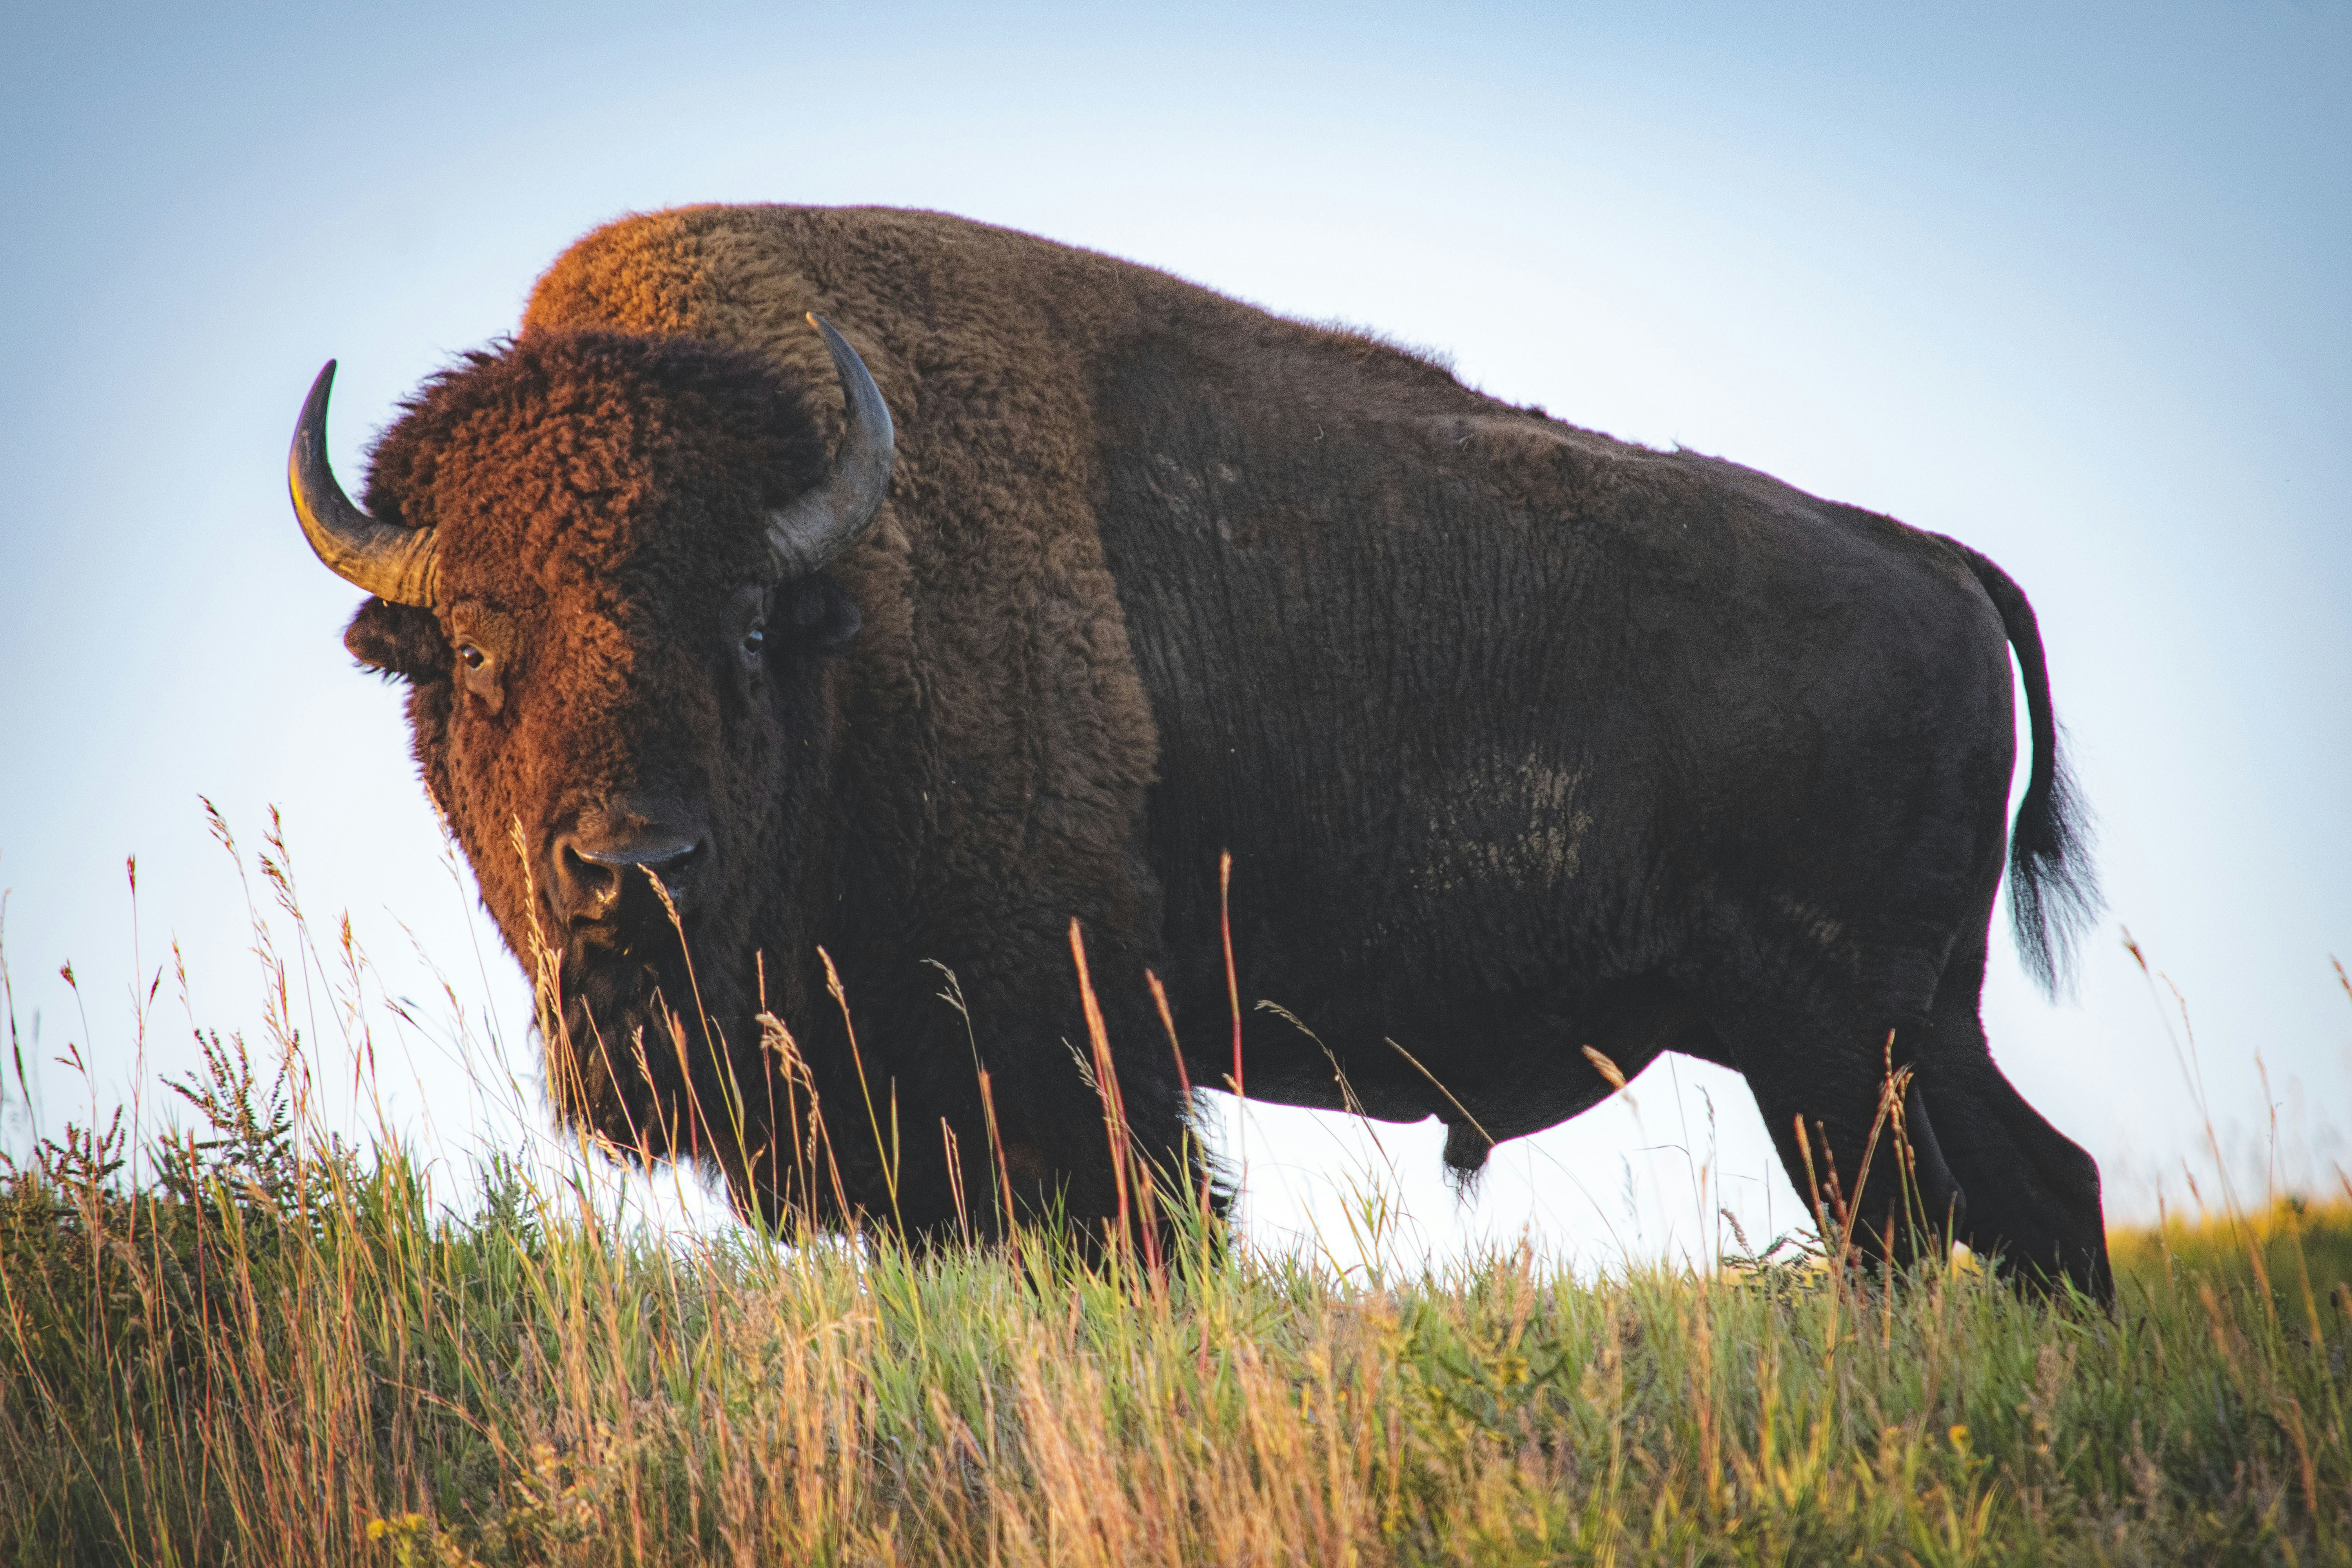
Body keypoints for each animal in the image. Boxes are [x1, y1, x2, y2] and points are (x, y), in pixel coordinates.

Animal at [291, 204, 2110, 1298]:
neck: (855, 625)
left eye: (746, 622)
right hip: (1857, 1044)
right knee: (2023, 1202)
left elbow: (1147, 1231)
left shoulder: (1067, 1056)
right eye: (474, 647)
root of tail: (1924, 555)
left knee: (2003, 1206)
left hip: (1853, 1041)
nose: (633, 870)